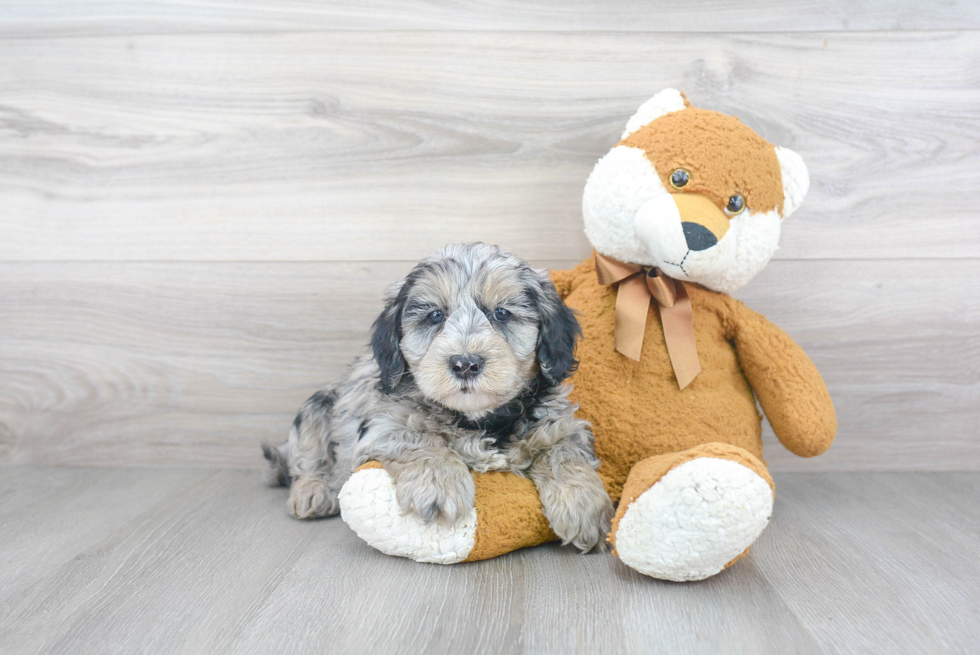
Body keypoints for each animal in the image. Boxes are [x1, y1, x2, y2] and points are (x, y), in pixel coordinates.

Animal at [264, 243, 608, 552]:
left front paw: (581, 503)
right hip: (317, 406)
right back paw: (312, 493)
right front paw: (438, 485)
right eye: (434, 316)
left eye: (501, 314)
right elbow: (420, 439)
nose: (465, 363)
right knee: (306, 458)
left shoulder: (560, 423)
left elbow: (564, 450)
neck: (477, 419)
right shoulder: (383, 423)